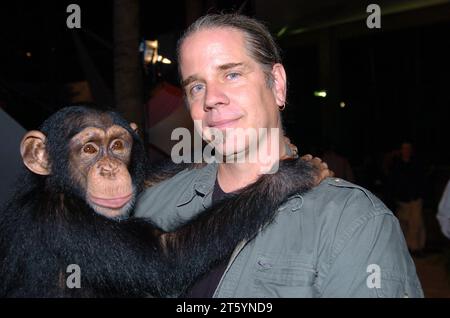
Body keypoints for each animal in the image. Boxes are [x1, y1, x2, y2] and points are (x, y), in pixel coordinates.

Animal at [0, 106, 318, 298]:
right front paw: (287, 177)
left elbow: (146, 178)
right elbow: (167, 255)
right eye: (89, 149)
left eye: (117, 146)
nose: (110, 169)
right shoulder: (64, 220)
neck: (59, 187)